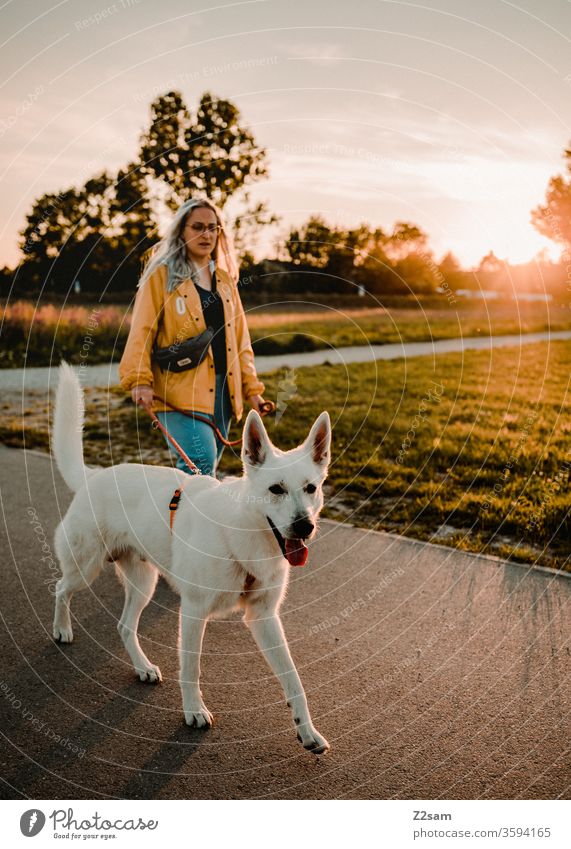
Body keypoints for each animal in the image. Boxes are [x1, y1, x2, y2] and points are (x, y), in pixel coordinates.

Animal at [53, 362, 332, 752]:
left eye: (311, 488)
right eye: (276, 489)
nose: (304, 526)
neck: (240, 532)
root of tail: (94, 476)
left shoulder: (263, 617)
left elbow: (293, 679)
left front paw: (307, 730)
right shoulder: (194, 612)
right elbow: (192, 668)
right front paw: (193, 712)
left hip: (143, 584)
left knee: (124, 626)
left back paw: (142, 666)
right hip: (85, 567)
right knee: (61, 589)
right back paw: (61, 629)